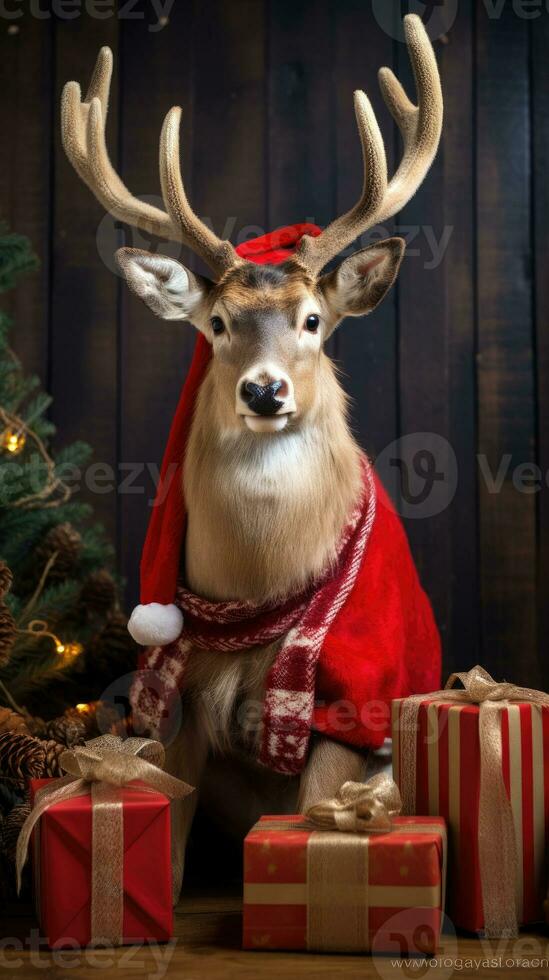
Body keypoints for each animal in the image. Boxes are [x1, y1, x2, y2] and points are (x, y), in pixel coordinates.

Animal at [62, 13, 444, 896]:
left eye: (312, 320)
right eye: (216, 324)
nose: (265, 392)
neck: (260, 591)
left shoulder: (347, 701)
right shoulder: (180, 711)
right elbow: (166, 850)